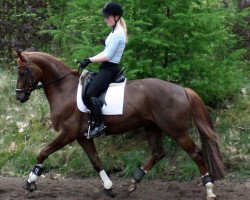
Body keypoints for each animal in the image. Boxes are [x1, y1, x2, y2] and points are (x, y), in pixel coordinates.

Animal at [15, 50, 225, 198]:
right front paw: (108, 187)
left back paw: (209, 188)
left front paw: (30, 182)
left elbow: (43, 152)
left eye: (22, 71)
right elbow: (96, 161)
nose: (19, 97)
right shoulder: (83, 137)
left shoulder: (67, 133)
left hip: (176, 130)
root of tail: (182, 89)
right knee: (158, 153)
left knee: (195, 153)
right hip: (152, 127)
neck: (64, 90)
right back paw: (134, 182)